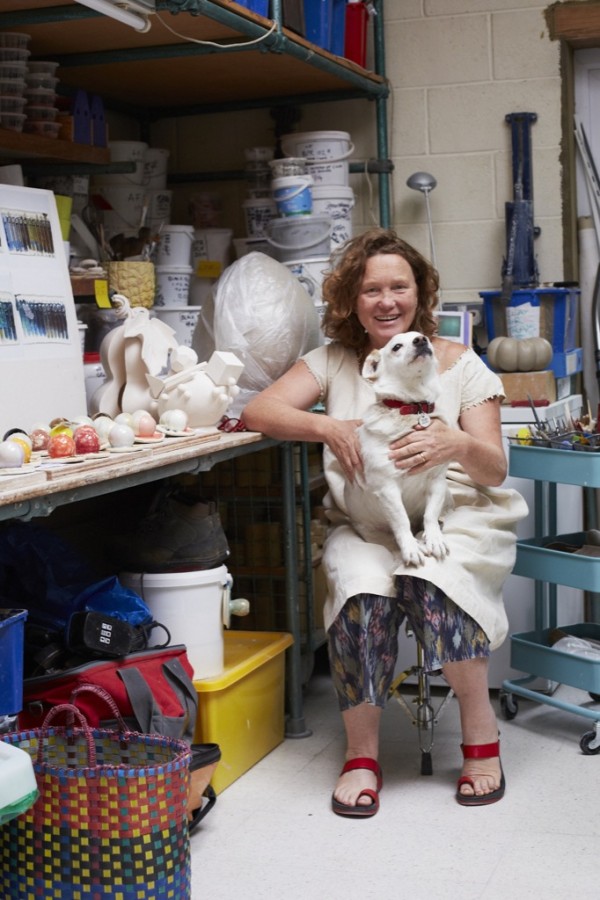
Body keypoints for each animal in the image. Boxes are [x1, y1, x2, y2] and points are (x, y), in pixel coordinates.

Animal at [344, 331, 452, 567]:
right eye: (396, 347)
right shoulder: (388, 489)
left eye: (424, 337)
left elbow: (430, 514)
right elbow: (402, 520)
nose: (421, 340)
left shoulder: (437, 481)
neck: (414, 407)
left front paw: (434, 538)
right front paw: (411, 548)